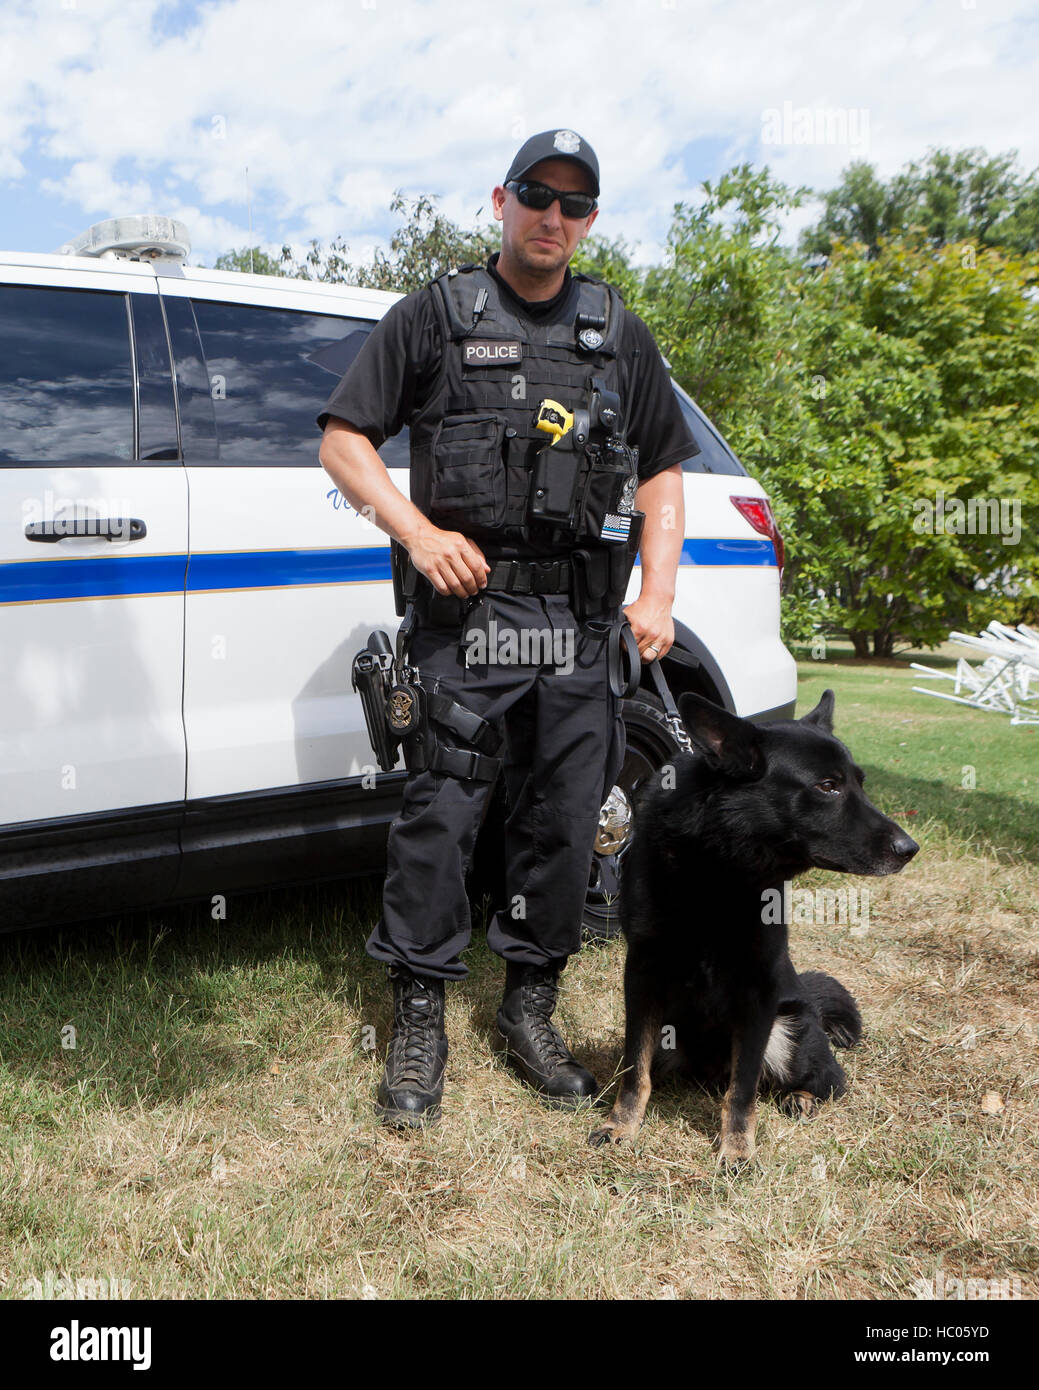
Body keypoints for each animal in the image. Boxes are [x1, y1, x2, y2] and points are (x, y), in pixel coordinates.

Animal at [589, 692, 923, 1162]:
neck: (720, 865)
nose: (910, 849)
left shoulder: (759, 990)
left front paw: (736, 1149)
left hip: (787, 1032)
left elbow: (742, 1089)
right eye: (828, 786)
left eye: (859, 782)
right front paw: (621, 1126)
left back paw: (800, 1098)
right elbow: (635, 1069)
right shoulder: (643, 976)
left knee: (832, 1080)